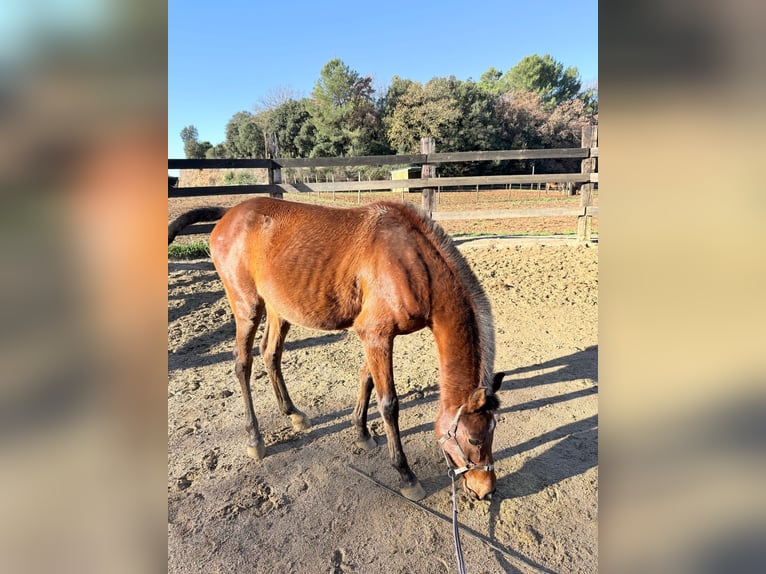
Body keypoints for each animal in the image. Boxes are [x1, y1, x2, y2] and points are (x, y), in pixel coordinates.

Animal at [168, 197, 503, 501]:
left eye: (493, 430)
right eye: (473, 439)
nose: (485, 490)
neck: (413, 262)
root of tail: (229, 213)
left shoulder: (374, 336)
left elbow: (366, 379)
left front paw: (361, 432)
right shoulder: (376, 335)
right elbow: (389, 404)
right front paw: (406, 475)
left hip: (279, 309)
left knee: (270, 353)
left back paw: (293, 413)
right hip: (247, 307)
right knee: (242, 363)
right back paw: (255, 437)